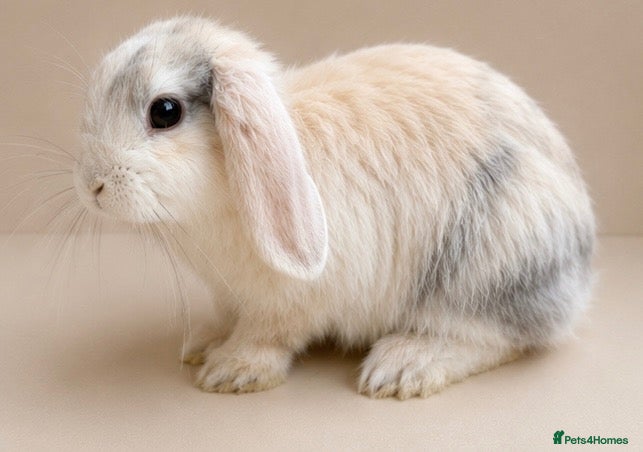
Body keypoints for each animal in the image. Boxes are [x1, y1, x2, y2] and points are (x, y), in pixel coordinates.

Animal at [73, 16, 595, 399]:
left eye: (165, 112)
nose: (92, 184)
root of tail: (581, 276)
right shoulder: (230, 297)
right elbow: (226, 319)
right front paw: (203, 343)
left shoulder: (285, 303)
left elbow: (268, 335)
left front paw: (232, 370)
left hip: (493, 258)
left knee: (502, 336)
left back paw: (401, 367)